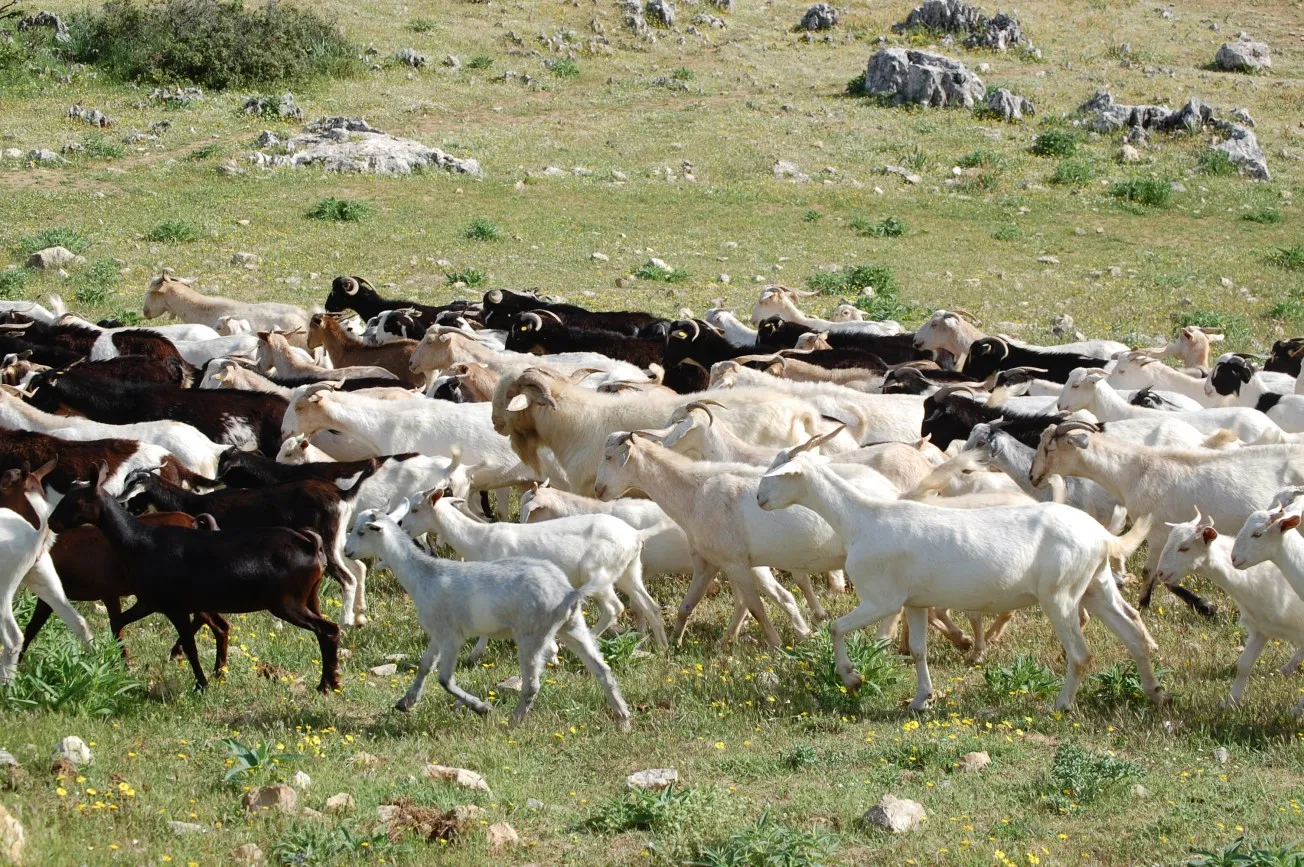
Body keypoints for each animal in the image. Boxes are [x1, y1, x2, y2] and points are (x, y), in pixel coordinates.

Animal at [48, 467, 338, 692]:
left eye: (76, 501)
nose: (51, 522)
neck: (140, 542)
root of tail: (310, 545)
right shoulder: (150, 602)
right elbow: (118, 621)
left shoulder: (173, 607)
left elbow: (190, 646)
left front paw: (201, 684)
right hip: (309, 598)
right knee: (326, 631)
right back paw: (328, 682)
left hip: (288, 603)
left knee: (328, 630)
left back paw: (328, 684)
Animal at [344, 505, 630, 727]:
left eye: (361, 532)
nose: (346, 552)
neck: (425, 575)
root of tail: (568, 593)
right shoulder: (437, 633)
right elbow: (425, 666)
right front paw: (406, 702)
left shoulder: (451, 636)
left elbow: (445, 679)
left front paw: (482, 708)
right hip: (573, 627)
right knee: (602, 670)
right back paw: (623, 717)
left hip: (532, 635)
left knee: (532, 684)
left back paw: (513, 721)